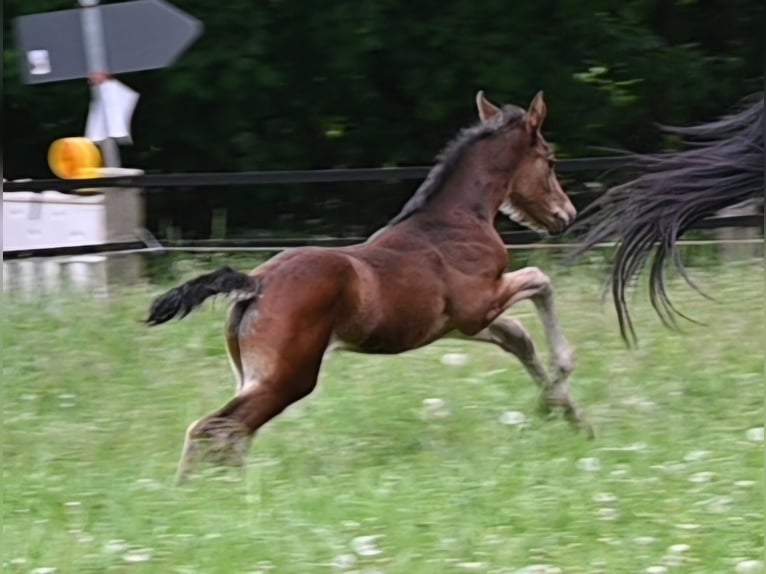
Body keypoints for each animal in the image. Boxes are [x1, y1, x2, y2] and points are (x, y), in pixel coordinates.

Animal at [146, 91, 592, 486]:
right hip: (288, 380)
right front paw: (564, 376)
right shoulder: (479, 305)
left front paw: (567, 414)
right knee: (214, 429)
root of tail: (256, 284)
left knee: (232, 435)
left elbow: (519, 338)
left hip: (254, 378)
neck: (456, 220)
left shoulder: (459, 324)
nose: (566, 215)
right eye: (550, 160)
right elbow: (540, 281)